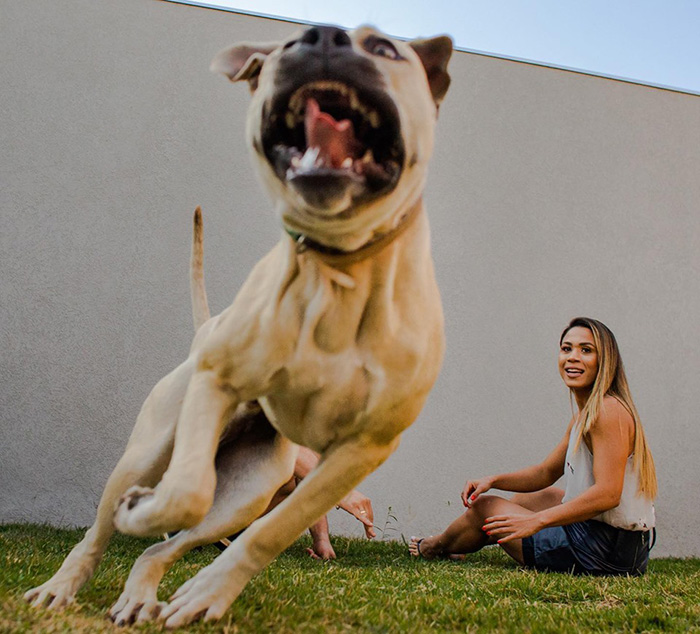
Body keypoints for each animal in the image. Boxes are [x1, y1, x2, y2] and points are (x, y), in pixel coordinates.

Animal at [24, 25, 452, 628]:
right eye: (286, 46)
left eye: (387, 50)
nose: (323, 37)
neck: (339, 270)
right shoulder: (217, 381)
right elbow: (185, 491)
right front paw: (146, 514)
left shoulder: (361, 450)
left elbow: (273, 531)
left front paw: (209, 594)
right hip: (148, 449)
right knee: (107, 527)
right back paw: (63, 584)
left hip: (250, 487)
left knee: (176, 542)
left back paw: (142, 594)